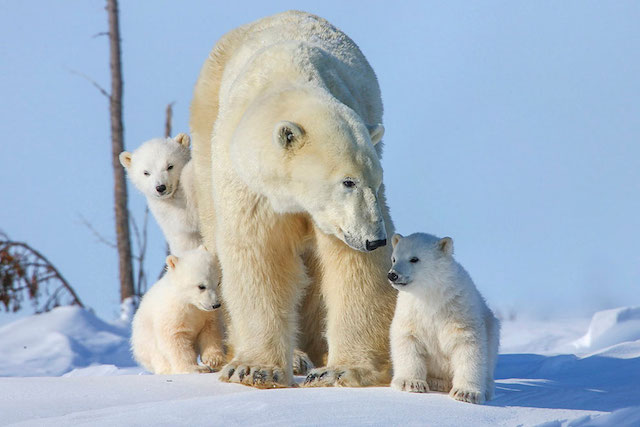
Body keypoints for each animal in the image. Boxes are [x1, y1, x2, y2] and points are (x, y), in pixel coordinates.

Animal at [189, 11, 396, 390]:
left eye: (376, 183)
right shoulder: (250, 187)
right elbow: (259, 256)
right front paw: (253, 369)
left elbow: (353, 267)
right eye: (347, 181)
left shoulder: (338, 219)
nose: (375, 239)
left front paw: (340, 370)